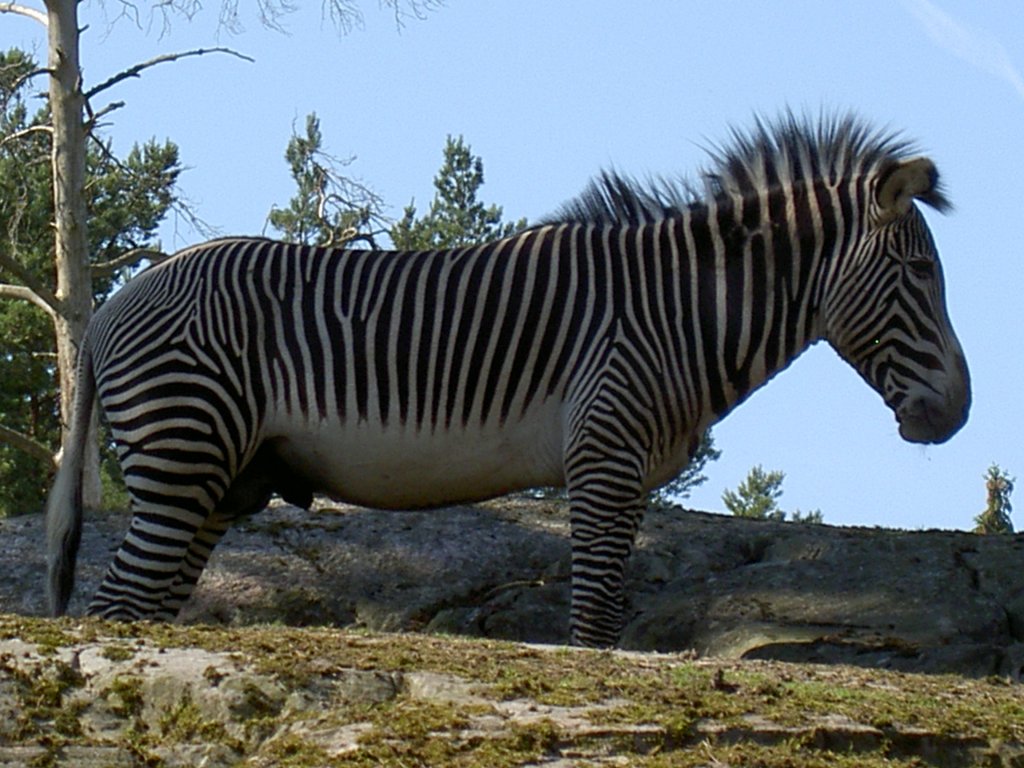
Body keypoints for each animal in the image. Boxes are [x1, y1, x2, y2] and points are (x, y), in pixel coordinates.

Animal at [46, 112, 966, 651]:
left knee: (141, 607)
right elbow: (594, 624)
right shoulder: (604, 456)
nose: (956, 415)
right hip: (182, 450)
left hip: (218, 479)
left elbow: (607, 618)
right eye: (923, 273)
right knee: (115, 608)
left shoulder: (627, 475)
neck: (676, 309)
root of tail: (113, 305)